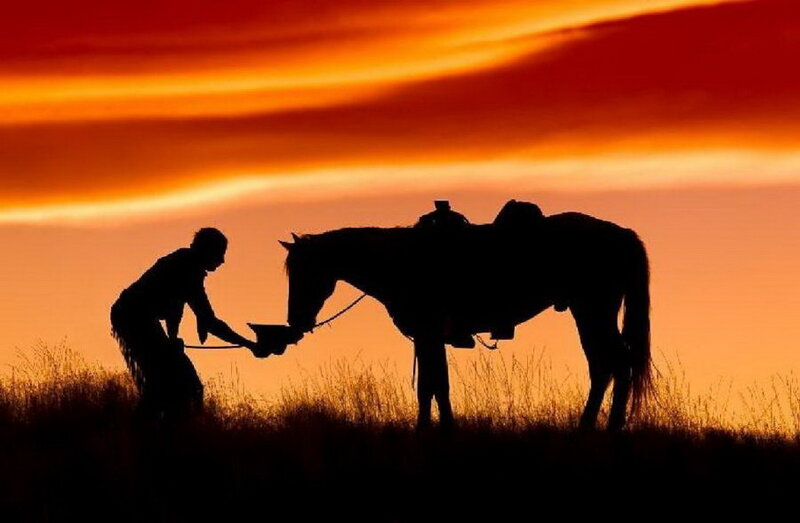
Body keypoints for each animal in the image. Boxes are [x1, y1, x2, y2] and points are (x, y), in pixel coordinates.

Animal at [280, 208, 652, 431]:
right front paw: (436, 429)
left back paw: (606, 429)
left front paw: (435, 431)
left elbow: (433, 386)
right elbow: (433, 385)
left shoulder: (428, 332)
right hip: (588, 312)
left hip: (593, 310)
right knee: (604, 366)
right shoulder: (428, 337)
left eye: (307, 272)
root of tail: (622, 234)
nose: (296, 321)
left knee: (615, 364)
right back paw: (589, 427)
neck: (402, 261)